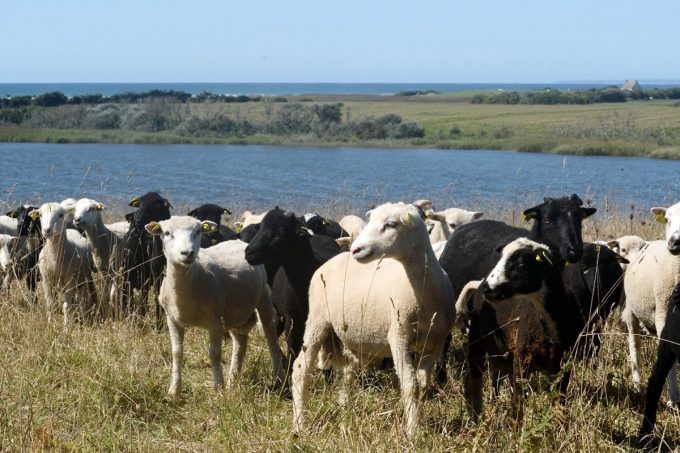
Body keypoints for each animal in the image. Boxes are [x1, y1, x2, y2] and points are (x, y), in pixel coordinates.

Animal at [144, 216, 284, 396]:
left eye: (198, 231)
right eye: (167, 233)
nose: (187, 253)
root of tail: (238, 241)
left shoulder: (214, 321)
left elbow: (214, 354)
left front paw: (218, 388)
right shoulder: (172, 319)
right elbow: (176, 353)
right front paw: (174, 390)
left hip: (263, 299)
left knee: (270, 337)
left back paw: (278, 379)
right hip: (234, 313)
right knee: (240, 343)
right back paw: (232, 381)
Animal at [292, 202, 455, 437]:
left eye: (391, 224)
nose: (356, 249)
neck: (423, 290)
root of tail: (333, 260)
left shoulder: (435, 342)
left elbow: (423, 385)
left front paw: (419, 422)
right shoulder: (398, 335)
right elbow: (410, 385)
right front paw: (413, 433)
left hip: (345, 336)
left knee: (345, 375)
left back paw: (345, 419)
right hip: (317, 318)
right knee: (301, 369)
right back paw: (299, 425)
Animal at [621, 202, 680, 407]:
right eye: (667, 219)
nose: (674, 242)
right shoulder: (665, 311)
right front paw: (673, 399)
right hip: (631, 310)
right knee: (635, 346)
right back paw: (637, 384)